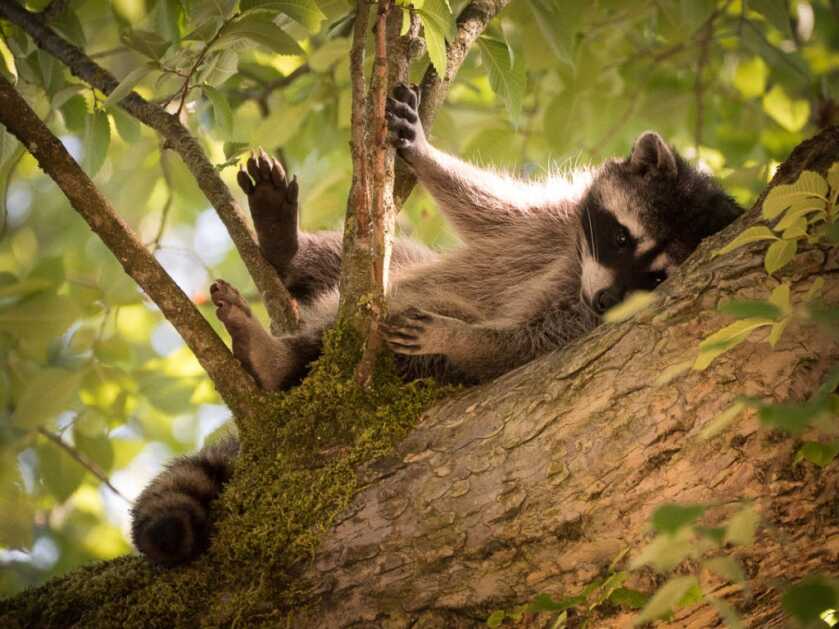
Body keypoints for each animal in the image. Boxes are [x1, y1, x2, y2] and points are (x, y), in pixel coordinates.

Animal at [131, 84, 742, 565]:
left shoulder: (580, 323)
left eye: (655, 278)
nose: (609, 297)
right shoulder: (558, 220)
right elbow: (489, 211)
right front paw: (426, 156)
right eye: (620, 237)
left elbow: (521, 347)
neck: (580, 273)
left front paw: (464, 338)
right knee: (386, 266)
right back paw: (287, 252)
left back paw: (279, 359)